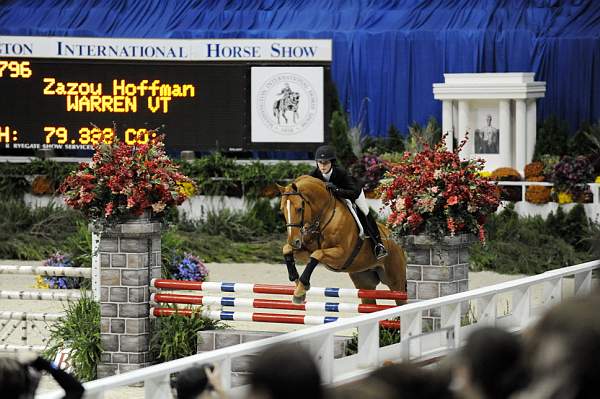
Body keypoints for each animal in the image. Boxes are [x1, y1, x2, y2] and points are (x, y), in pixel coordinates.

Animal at [278, 176, 408, 306]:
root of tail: (397, 241)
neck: (324, 215)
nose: (294, 241)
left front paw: (300, 291)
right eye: (282, 210)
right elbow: (287, 249)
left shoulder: (342, 255)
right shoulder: (306, 250)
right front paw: (296, 280)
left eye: (299, 209)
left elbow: (317, 254)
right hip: (364, 281)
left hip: (396, 281)